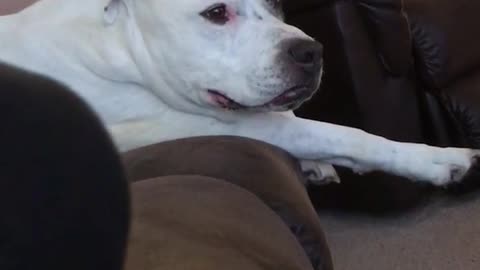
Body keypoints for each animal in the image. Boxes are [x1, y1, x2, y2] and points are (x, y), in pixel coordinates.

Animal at [0, 0, 478, 186]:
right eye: (216, 12)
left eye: (276, 5)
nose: (312, 51)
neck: (119, 41)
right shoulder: (202, 123)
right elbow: (338, 133)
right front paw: (435, 159)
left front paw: (316, 163)